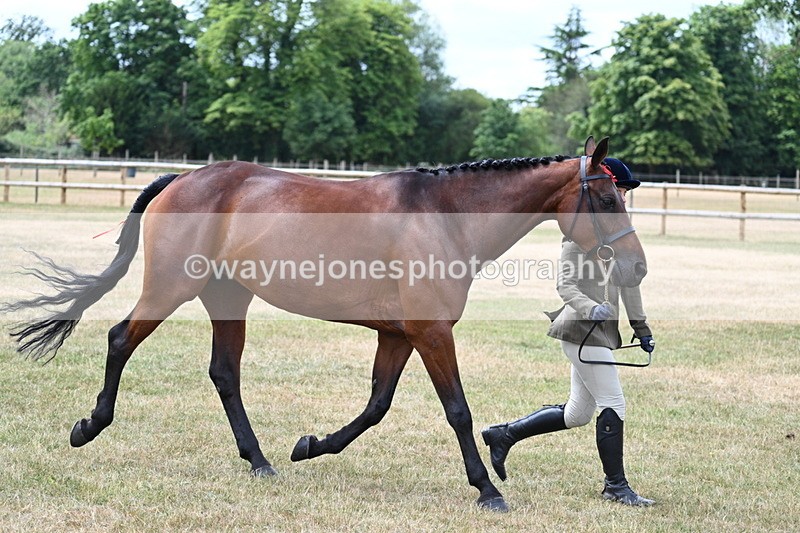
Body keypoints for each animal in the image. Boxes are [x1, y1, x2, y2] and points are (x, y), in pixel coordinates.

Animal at [3, 136, 646, 512]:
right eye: (606, 201)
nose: (636, 266)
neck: (443, 216)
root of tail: (183, 178)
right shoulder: (431, 332)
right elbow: (457, 410)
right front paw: (487, 489)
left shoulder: (399, 334)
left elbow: (376, 406)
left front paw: (311, 446)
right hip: (170, 288)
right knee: (120, 339)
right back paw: (89, 426)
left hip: (227, 298)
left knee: (224, 373)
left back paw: (260, 461)